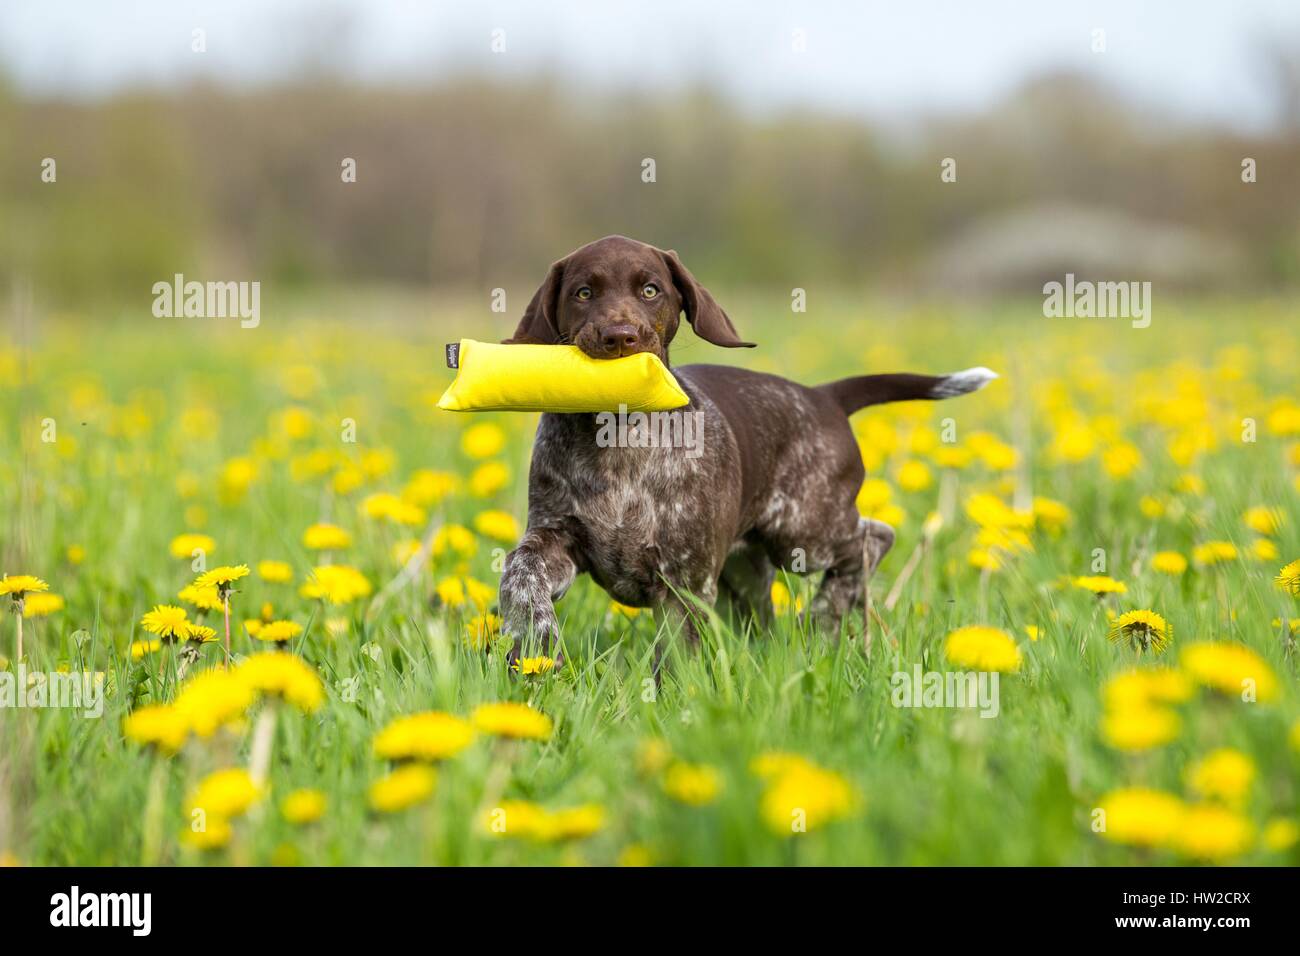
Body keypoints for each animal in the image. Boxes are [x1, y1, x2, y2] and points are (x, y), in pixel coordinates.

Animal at [499, 236, 993, 658]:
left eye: (650, 290)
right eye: (583, 293)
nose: (619, 337)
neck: (617, 436)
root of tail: (823, 396)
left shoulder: (685, 581)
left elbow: (676, 659)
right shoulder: (557, 536)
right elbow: (520, 570)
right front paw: (532, 637)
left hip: (801, 534)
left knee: (872, 538)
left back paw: (824, 616)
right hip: (747, 571)